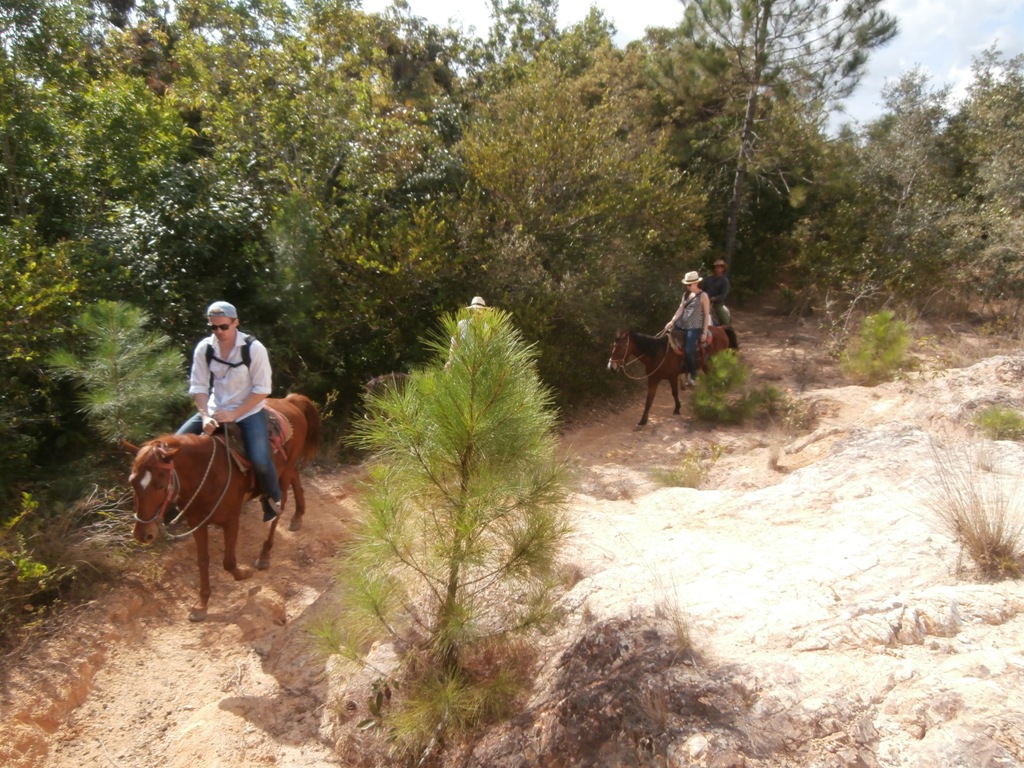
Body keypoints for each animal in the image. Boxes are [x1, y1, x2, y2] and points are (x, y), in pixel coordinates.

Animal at [130, 393, 319, 622]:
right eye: (132, 483)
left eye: (159, 485)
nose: (143, 534)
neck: (208, 473)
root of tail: (289, 400)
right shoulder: (197, 523)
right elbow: (203, 560)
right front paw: (201, 604)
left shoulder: (231, 519)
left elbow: (228, 561)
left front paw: (244, 573)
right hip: (286, 469)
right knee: (296, 480)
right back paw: (298, 516)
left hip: (282, 473)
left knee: (278, 508)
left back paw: (265, 554)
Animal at [606, 327, 737, 430]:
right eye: (613, 346)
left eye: (622, 347)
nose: (611, 367)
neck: (657, 353)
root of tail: (721, 329)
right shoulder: (653, 379)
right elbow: (649, 400)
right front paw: (642, 421)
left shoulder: (672, 376)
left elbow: (674, 393)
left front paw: (677, 410)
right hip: (706, 366)